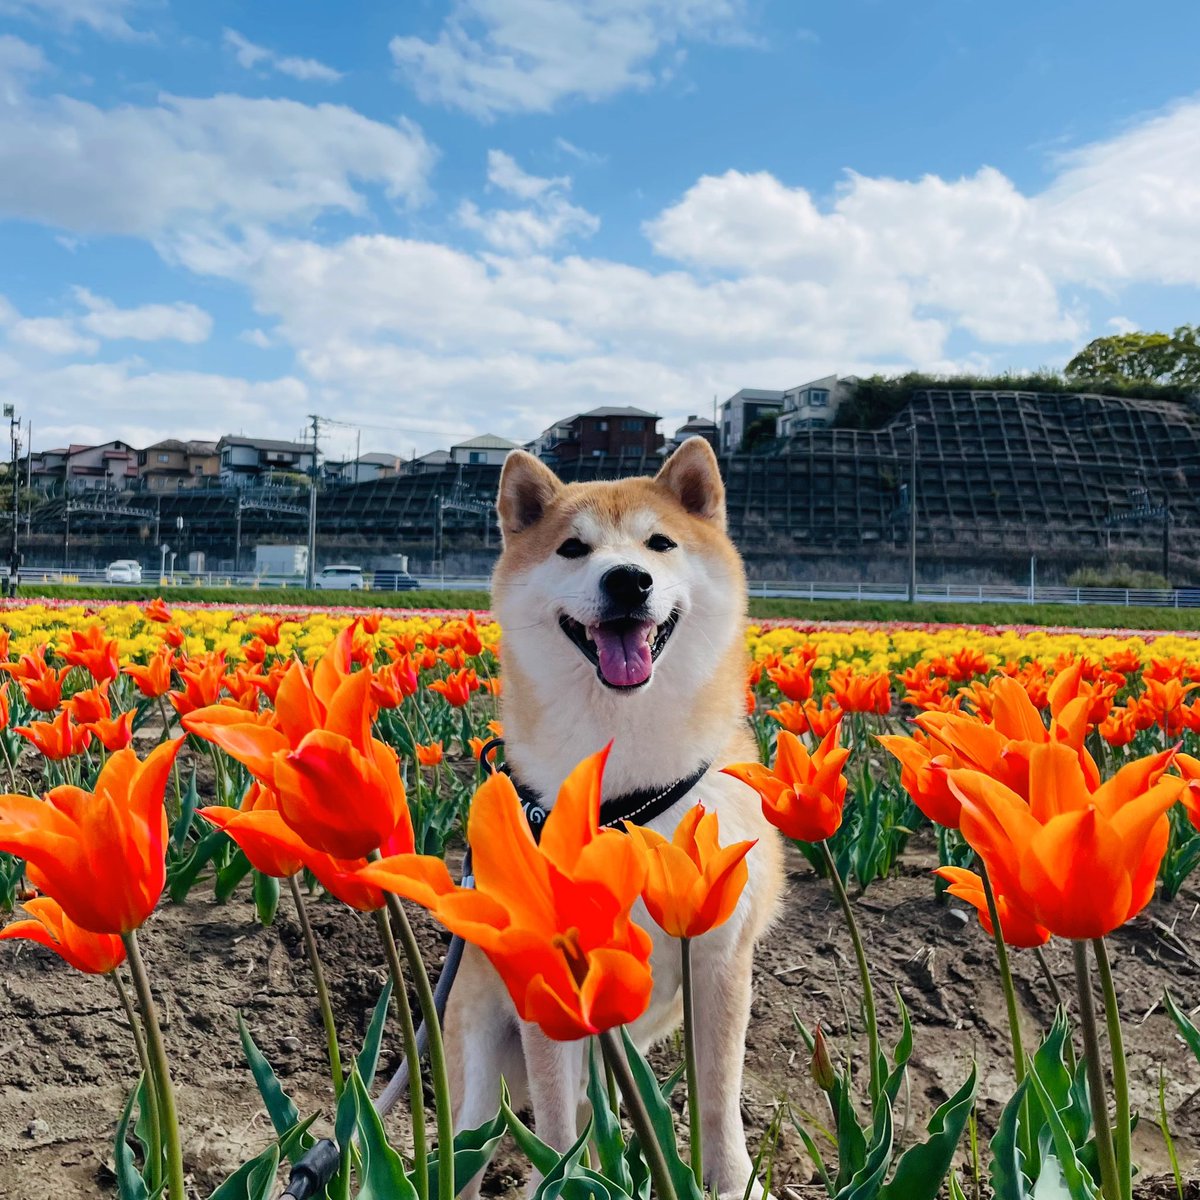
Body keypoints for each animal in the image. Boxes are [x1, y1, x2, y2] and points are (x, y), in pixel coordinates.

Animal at [446, 436, 782, 1195]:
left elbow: (718, 1098)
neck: (625, 796)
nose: (629, 580)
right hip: (480, 1066)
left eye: (660, 543)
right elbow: (555, 1126)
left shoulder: (720, 961)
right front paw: (560, 1183)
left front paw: (730, 1181)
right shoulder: (552, 987)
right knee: (476, 1146)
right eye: (573, 548)